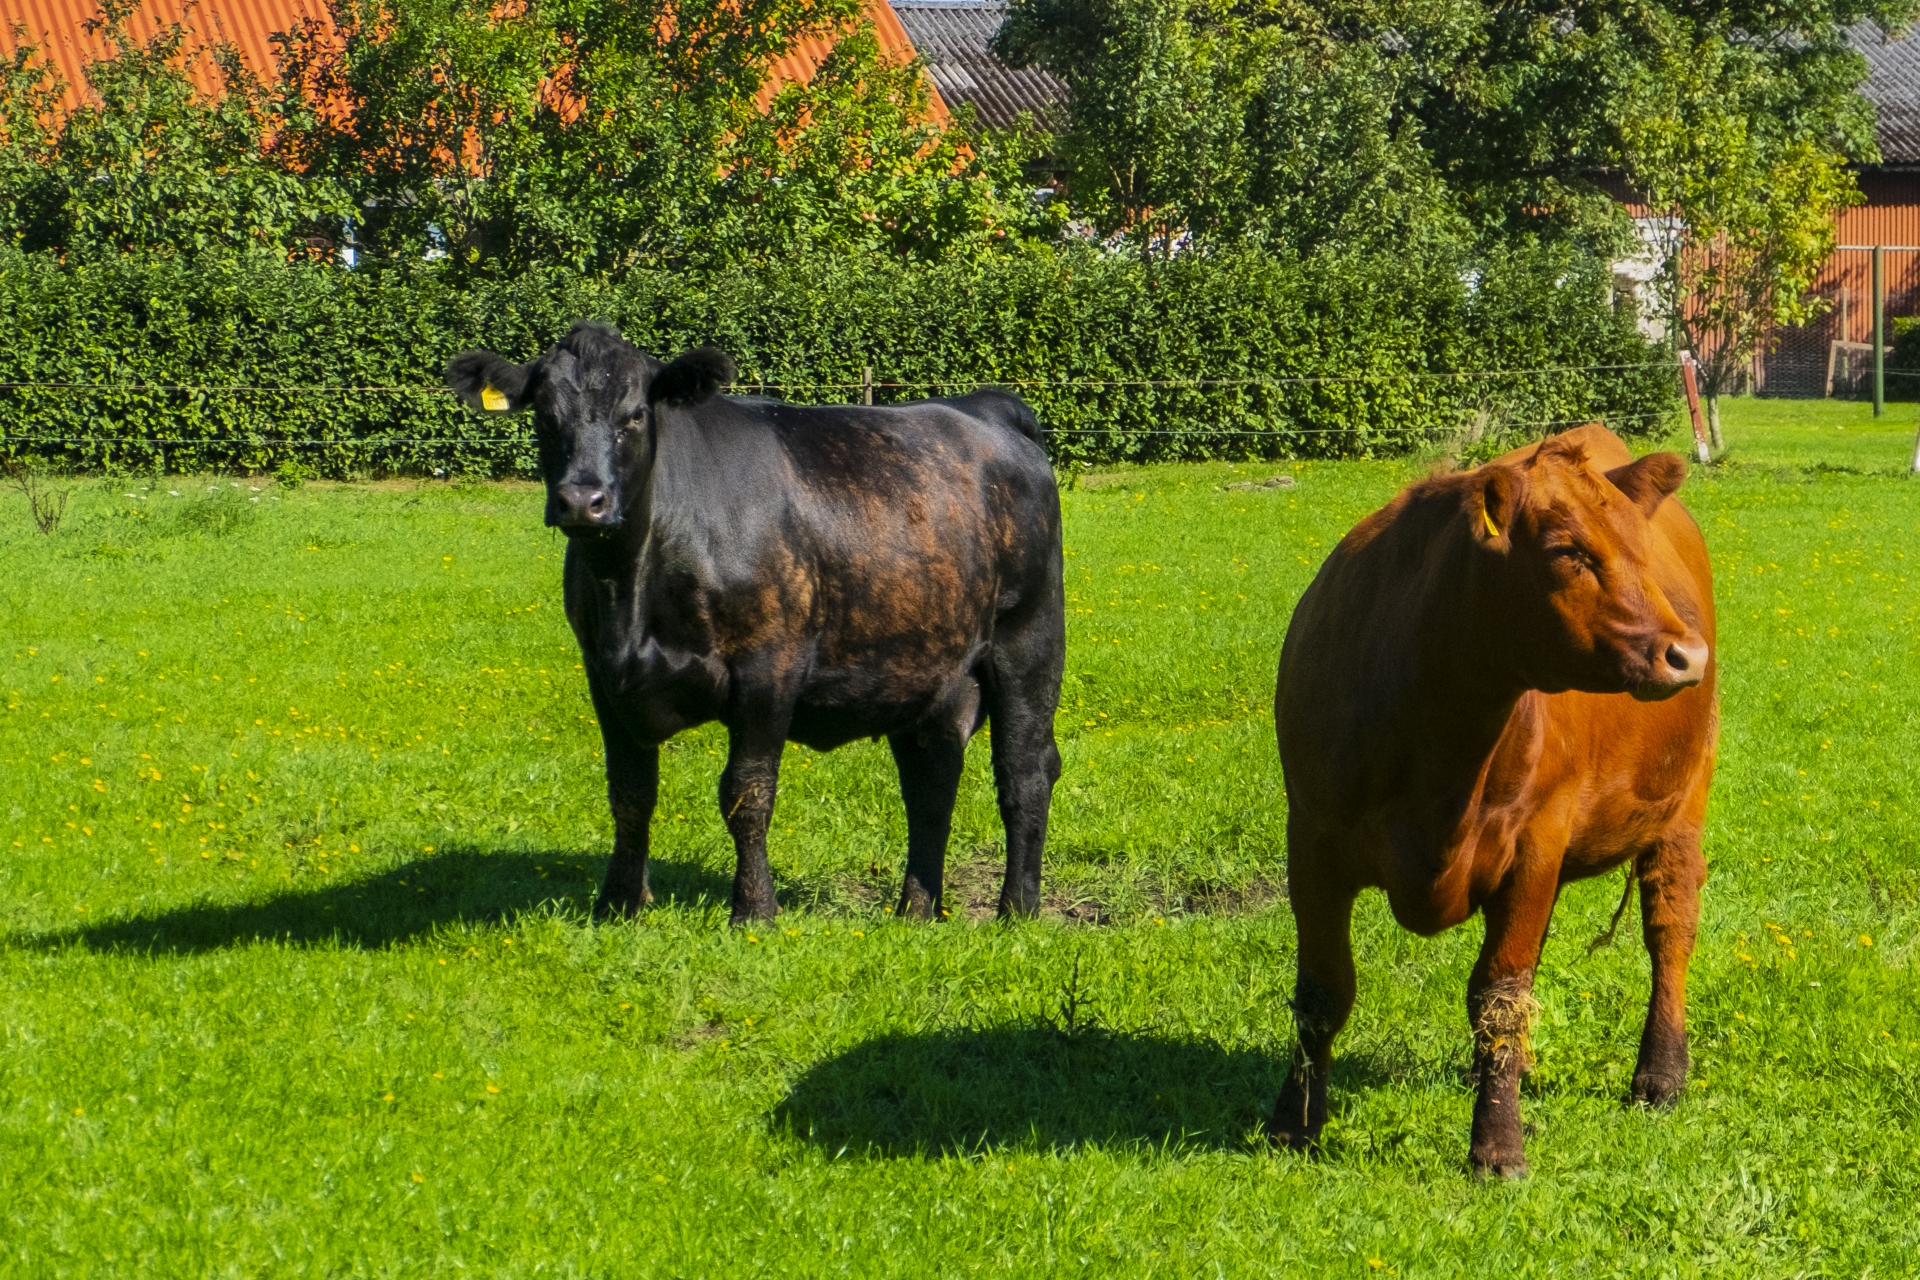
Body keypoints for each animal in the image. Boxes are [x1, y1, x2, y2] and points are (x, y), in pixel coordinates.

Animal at [446, 321, 1064, 926]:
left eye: (636, 415)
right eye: (546, 415)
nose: (582, 501)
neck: (632, 591)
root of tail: (983, 406)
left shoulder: (769, 666)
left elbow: (747, 793)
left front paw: (753, 911)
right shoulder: (603, 672)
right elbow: (629, 793)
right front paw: (617, 906)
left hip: (1028, 640)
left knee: (1025, 772)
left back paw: (1017, 910)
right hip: (924, 668)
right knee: (931, 781)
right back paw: (914, 912)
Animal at [1268, 424, 1716, 1178]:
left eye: (1638, 543)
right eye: (1568, 551)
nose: (1687, 654)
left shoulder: (1534, 845)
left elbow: (1499, 998)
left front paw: (1497, 1146)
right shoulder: (1312, 838)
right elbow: (1323, 990)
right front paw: (1291, 1125)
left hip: (1682, 805)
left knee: (1669, 931)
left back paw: (1661, 1073)